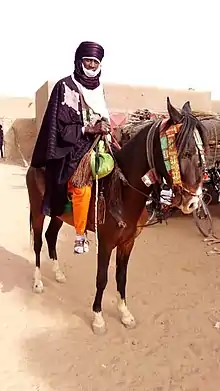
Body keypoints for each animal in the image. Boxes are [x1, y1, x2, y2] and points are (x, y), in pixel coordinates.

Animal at [26, 98, 208, 334]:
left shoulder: (127, 242)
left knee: (50, 237)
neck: (122, 190)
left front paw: (125, 314)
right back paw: (38, 282)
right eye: (185, 153)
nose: (194, 202)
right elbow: (102, 278)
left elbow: (121, 277)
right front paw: (98, 318)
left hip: (58, 214)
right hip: (38, 210)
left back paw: (58, 274)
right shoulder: (105, 242)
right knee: (38, 242)